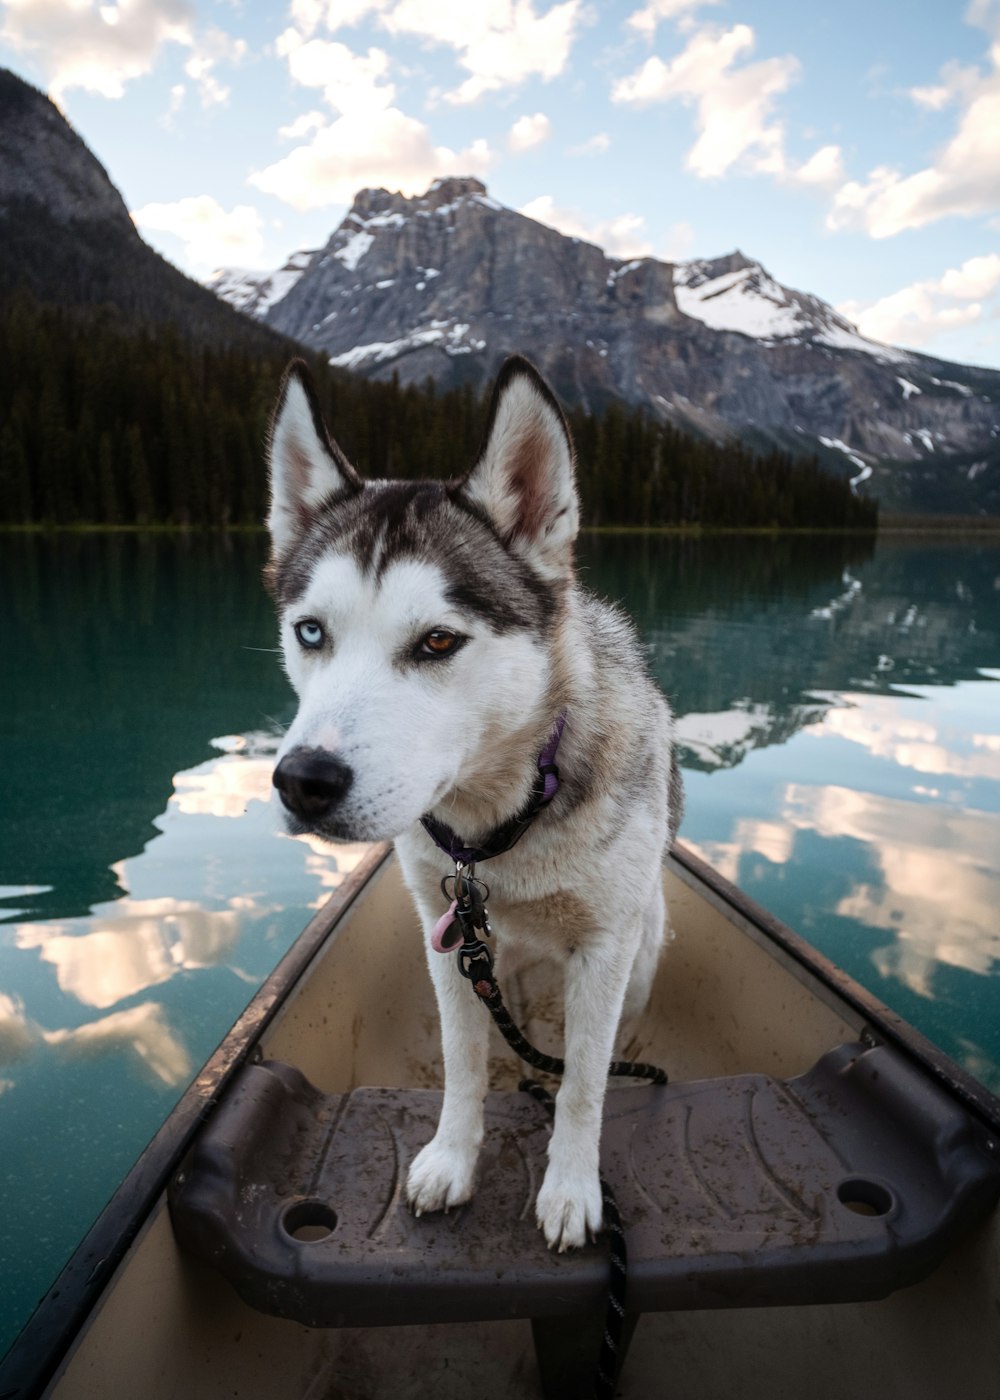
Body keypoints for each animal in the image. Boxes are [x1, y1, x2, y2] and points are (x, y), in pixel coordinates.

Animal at [263, 355, 677, 1254]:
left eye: (438, 641)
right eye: (310, 632)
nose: (303, 780)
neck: (502, 831)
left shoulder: (605, 950)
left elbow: (583, 1083)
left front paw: (570, 1186)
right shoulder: (446, 935)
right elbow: (464, 1060)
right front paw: (453, 1159)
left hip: (645, 947)